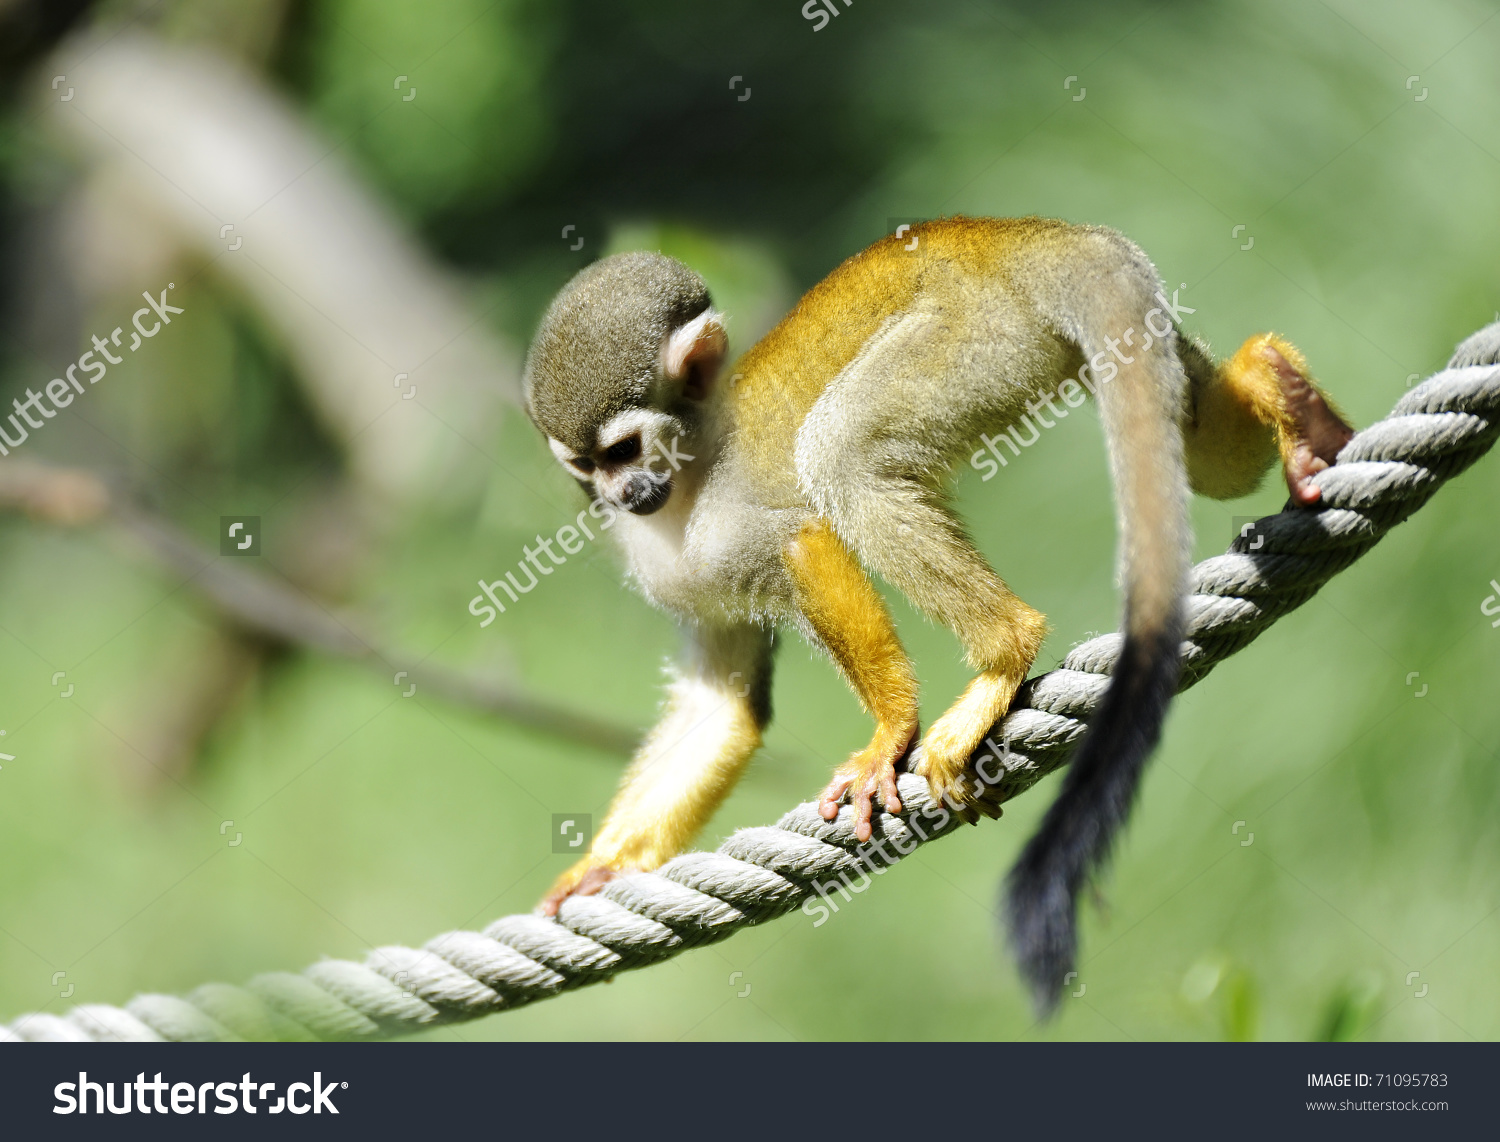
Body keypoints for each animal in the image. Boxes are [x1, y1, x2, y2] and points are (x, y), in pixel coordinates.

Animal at [522, 213, 1356, 1008]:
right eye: (586, 465)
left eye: (625, 451)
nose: (620, 495)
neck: (685, 486)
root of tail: (1019, 238)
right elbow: (724, 706)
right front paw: (599, 867)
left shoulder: (738, 520)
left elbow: (808, 537)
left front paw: (891, 732)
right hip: (1112, 339)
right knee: (1208, 455)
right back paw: (1281, 386)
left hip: (972, 339)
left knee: (841, 453)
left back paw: (1003, 651)